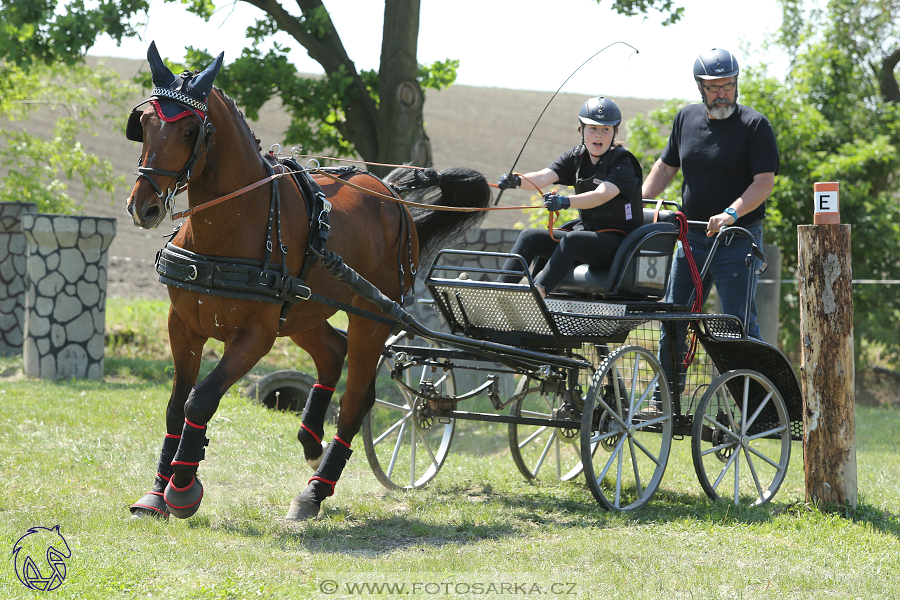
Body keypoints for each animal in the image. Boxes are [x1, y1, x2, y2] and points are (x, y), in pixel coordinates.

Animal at [124, 42, 488, 520]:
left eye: (189, 130)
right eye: (145, 123)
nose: (143, 206)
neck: (230, 226)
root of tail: (390, 193)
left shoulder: (255, 335)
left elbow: (200, 399)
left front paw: (183, 487)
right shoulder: (182, 325)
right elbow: (173, 407)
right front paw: (157, 491)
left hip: (371, 316)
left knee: (356, 401)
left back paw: (315, 491)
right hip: (304, 310)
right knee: (333, 352)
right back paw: (311, 440)